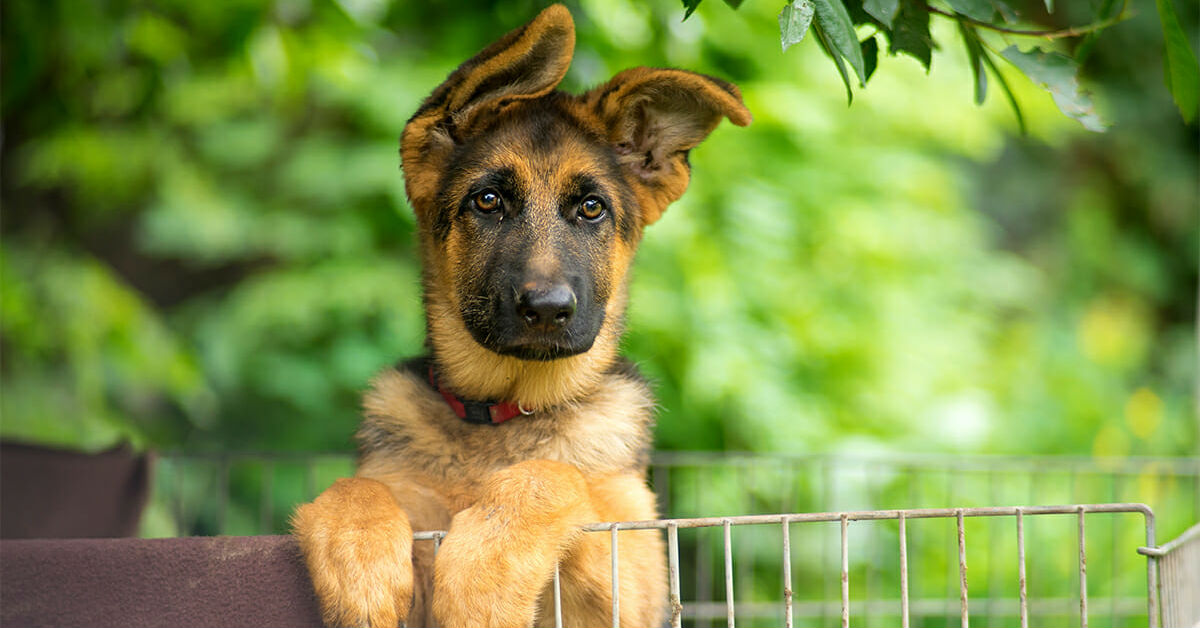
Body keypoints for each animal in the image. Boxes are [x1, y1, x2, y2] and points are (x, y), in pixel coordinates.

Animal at [292, 6, 748, 628]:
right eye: (488, 202)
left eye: (591, 208)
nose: (548, 310)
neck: (507, 412)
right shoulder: (405, 498)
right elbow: (352, 488)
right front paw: (358, 557)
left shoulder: (636, 571)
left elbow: (551, 474)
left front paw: (481, 578)